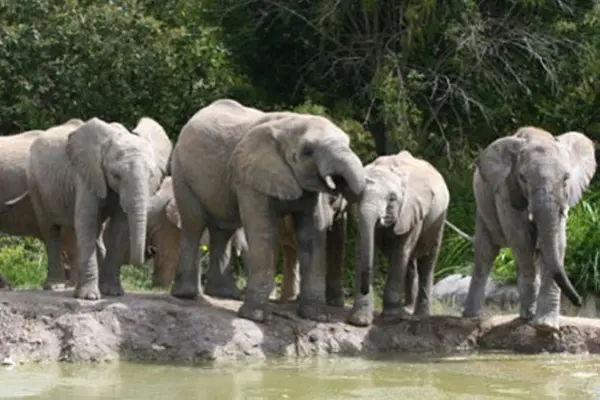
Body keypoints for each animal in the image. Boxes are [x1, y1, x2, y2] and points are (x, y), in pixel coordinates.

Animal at [23, 117, 162, 298]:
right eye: (116, 175)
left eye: (151, 176)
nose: (151, 250)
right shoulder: (86, 174)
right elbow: (86, 219)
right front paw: (89, 297)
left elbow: (120, 226)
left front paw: (113, 292)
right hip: (35, 183)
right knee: (50, 229)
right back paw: (55, 287)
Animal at [169, 98, 366, 324]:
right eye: (307, 151)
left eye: (348, 143)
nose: (337, 183)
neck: (290, 123)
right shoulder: (249, 175)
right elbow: (263, 231)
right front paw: (255, 317)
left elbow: (312, 235)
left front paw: (317, 317)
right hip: (181, 169)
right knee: (194, 223)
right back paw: (186, 295)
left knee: (223, 228)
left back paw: (224, 294)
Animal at [346, 152, 450, 326]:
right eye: (358, 195)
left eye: (392, 198)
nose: (365, 288)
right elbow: (363, 248)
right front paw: (359, 320)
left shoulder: (412, 210)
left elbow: (401, 251)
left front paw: (390, 315)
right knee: (409, 263)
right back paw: (407, 310)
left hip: (438, 219)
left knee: (426, 260)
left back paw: (419, 316)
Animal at [464, 127, 596, 332]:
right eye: (522, 178)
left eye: (566, 178)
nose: (579, 301)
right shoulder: (506, 191)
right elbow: (521, 240)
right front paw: (530, 317)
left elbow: (558, 242)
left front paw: (546, 326)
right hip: (483, 206)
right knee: (485, 252)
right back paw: (472, 316)